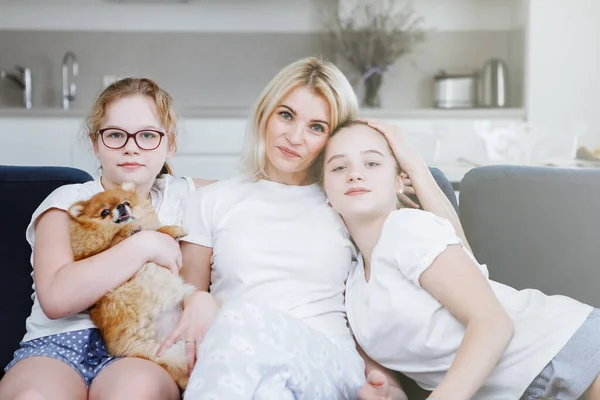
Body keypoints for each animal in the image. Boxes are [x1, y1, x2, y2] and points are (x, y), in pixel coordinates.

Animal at [67, 183, 195, 390]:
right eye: (104, 212)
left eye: (126, 202)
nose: (121, 207)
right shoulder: (91, 256)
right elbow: (115, 240)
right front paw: (128, 230)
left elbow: (156, 231)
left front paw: (174, 229)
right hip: (165, 354)